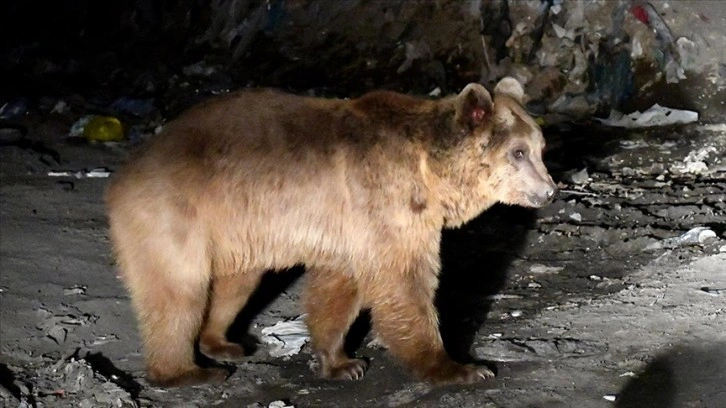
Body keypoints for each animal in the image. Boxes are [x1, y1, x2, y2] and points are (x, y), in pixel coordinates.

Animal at [105, 77, 556, 388]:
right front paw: (460, 367)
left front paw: (340, 361)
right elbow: (404, 283)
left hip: (235, 228)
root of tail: (125, 172)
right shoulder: (384, 203)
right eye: (517, 152)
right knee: (177, 292)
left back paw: (222, 341)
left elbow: (339, 288)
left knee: (236, 284)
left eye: (541, 148)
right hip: (176, 214)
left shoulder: (351, 227)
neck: (430, 173)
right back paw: (185, 371)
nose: (550, 190)